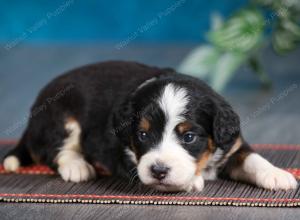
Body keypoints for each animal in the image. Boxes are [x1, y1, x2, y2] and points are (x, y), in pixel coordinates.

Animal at [2, 61, 298, 192]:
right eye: (142, 135)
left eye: (189, 137)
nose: (158, 171)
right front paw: (191, 181)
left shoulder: (232, 144)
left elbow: (253, 159)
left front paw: (278, 174)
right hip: (61, 116)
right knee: (55, 149)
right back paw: (78, 166)